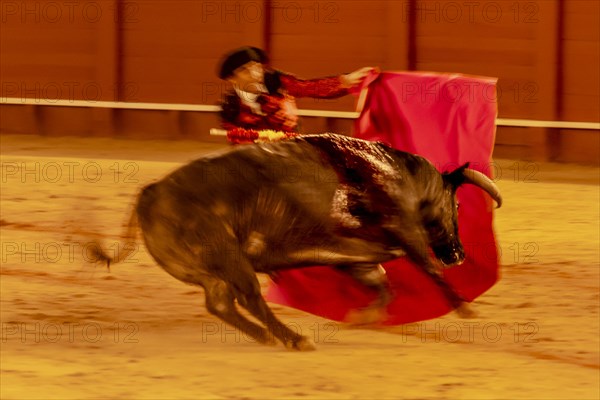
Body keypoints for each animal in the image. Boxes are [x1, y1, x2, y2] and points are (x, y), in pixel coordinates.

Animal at [96, 134, 504, 350]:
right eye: (455, 204)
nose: (459, 254)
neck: (406, 179)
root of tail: (152, 191)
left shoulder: (356, 257)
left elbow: (382, 284)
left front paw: (363, 318)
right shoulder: (406, 230)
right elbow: (428, 269)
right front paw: (466, 309)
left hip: (206, 268)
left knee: (220, 302)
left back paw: (266, 337)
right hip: (230, 257)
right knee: (248, 297)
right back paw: (293, 338)